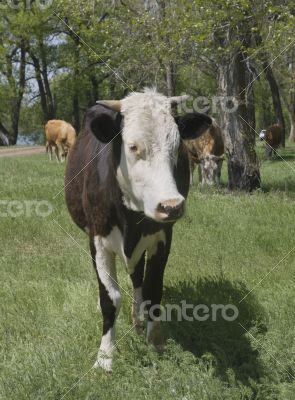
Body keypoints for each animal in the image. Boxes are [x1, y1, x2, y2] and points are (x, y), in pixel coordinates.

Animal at [65, 90, 213, 372]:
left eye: (177, 147)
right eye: (133, 146)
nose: (171, 206)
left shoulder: (162, 238)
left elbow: (153, 290)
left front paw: (154, 343)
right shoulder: (97, 240)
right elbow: (110, 299)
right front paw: (105, 356)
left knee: (137, 281)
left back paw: (138, 319)